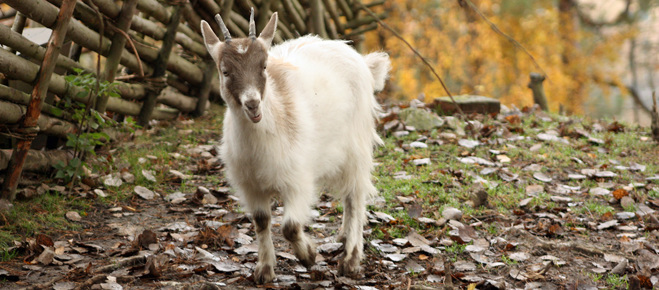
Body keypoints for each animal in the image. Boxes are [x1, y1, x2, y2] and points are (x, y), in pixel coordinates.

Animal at [199, 9, 390, 284]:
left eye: (264, 66)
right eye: (225, 71)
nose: (253, 105)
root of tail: (359, 59)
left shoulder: (297, 180)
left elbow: (289, 227)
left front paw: (308, 255)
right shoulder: (250, 185)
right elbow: (261, 220)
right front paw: (265, 270)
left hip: (357, 145)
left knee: (356, 196)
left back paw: (351, 259)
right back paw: (343, 236)